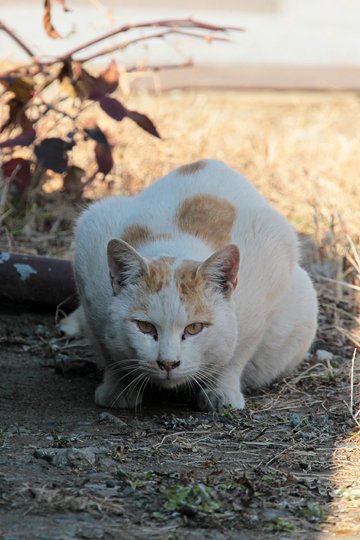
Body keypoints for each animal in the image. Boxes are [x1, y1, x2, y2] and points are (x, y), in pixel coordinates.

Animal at [61, 158, 318, 412]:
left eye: (195, 328)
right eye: (144, 327)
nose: (167, 363)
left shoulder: (269, 268)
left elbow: (237, 352)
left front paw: (221, 392)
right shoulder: (90, 258)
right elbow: (106, 347)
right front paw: (118, 389)